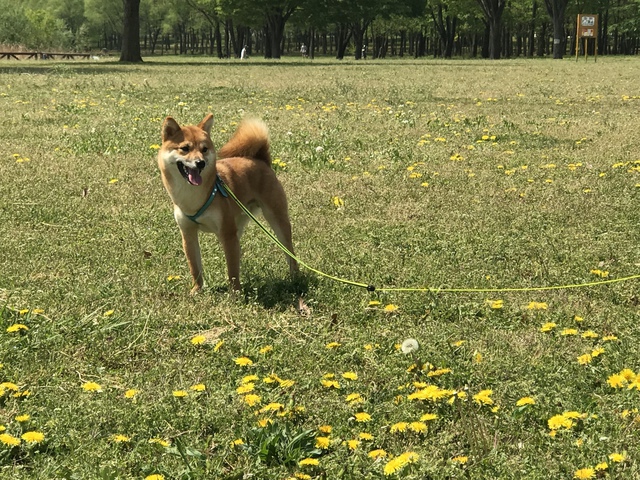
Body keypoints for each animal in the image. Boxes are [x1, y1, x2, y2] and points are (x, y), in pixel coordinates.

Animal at [160, 114, 300, 290]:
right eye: (185, 148)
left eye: (204, 149)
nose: (200, 162)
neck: (193, 197)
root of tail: (260, 160)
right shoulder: (188, 234)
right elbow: (195, 267)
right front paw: (197, 290)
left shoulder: (227, 234)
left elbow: (232, 270)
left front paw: (235, 293)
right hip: (237, 224)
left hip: (275, 218)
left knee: (289, 251)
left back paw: (295, 277)